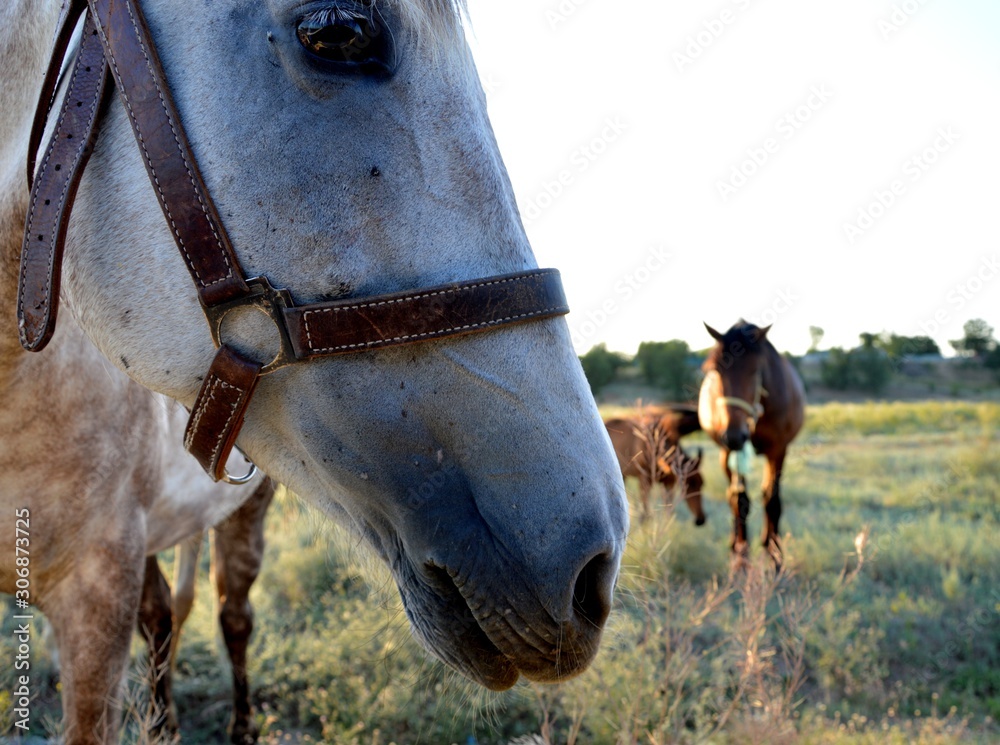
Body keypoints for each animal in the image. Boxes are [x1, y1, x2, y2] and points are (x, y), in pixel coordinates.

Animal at [698, 322, 805, 569]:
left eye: (756, 370)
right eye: (715, 370)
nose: (734, 435)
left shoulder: (778, 449)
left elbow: (772, 500)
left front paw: (775, 555)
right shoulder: (730, 452)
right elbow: (740, 501)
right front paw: (741, 556)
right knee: (731, 496)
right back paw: (733, 543)